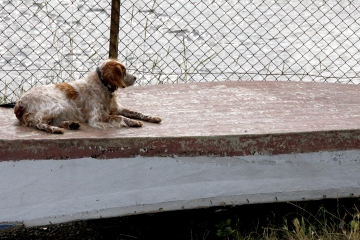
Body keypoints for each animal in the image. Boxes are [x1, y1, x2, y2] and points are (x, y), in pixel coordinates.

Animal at [13, 58, 161, 133]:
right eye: (123, 71)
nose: (135, 77)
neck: (103, 86)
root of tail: (19, 103)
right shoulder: (97, 116)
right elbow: (120, 117)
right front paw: (134, 122)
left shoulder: (117, 108)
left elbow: (137, 112)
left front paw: (153, 117)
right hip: (56, 105)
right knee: (39, 123)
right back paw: (55, 129)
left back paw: (71, 124)